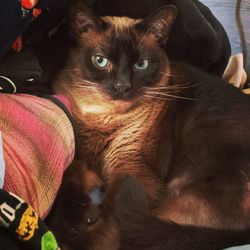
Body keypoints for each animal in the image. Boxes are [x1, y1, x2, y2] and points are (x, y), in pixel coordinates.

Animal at [47, 0, 250, 249]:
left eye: (141, 65)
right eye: (101, 61)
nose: (122, 86)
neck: (102, 115)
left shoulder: (128, 170)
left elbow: (107, 228)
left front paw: (72, 233)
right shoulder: (79, 155)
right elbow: (70, 177)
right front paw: (74, 217)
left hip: (176, 195)